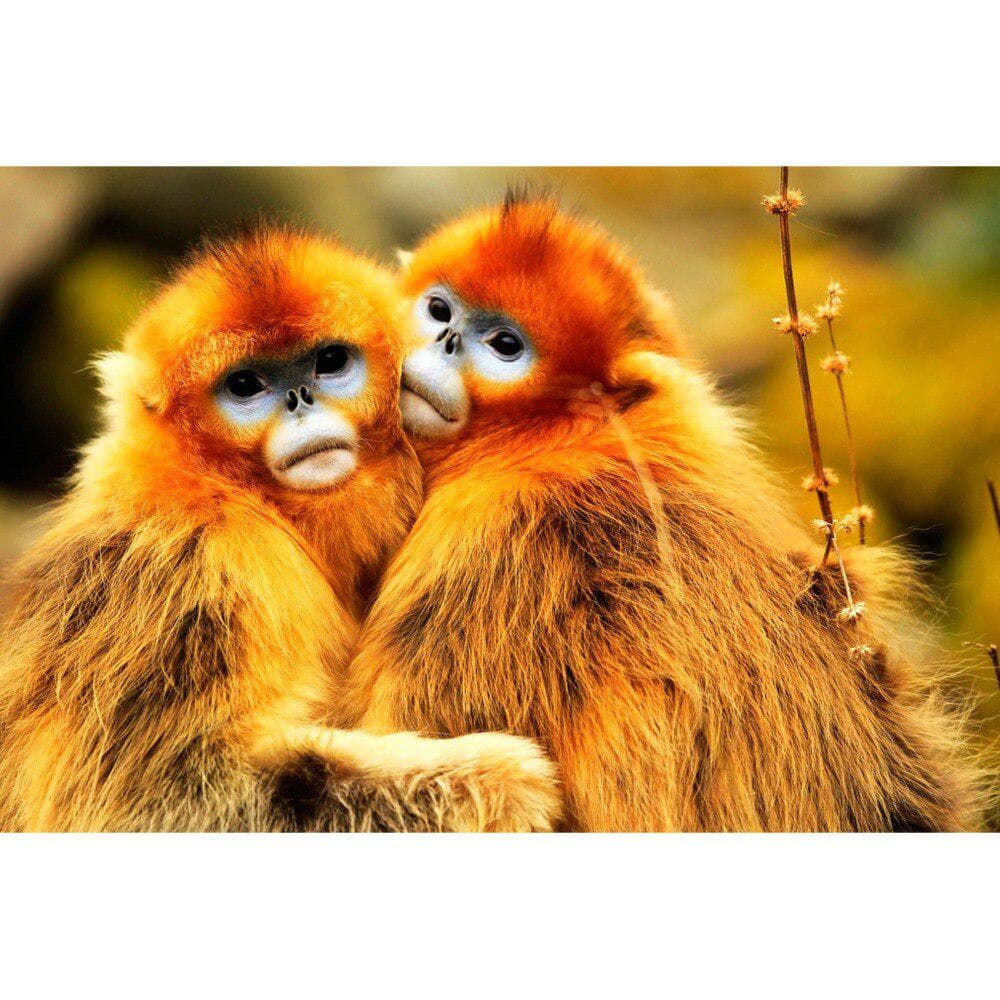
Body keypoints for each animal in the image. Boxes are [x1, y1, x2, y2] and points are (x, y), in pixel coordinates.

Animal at [0, 226, 559, 832]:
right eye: (245, 385)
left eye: (330, 361)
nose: (300, 400)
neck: (229, 487)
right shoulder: (191, 567)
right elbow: (157, 801)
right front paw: (501, 780)